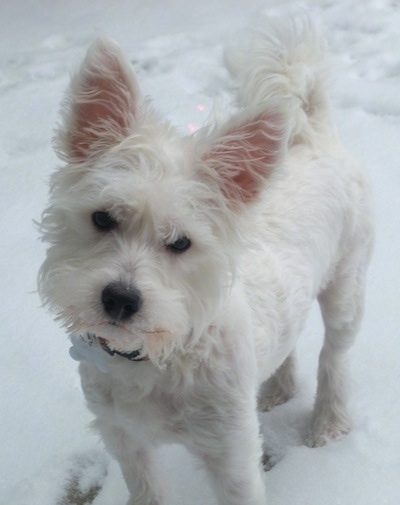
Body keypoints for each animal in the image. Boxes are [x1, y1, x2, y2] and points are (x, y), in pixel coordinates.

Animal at [39, 16, 374, 504]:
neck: (154, 353)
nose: (120, 299)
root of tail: (316, 133)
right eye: (102, 218)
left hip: (347, 284)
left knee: (335, 356)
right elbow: (145, 490)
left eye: (181, 243)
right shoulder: (123, 437)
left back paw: (329, 423)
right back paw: (277, 388)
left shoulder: (231, 450)